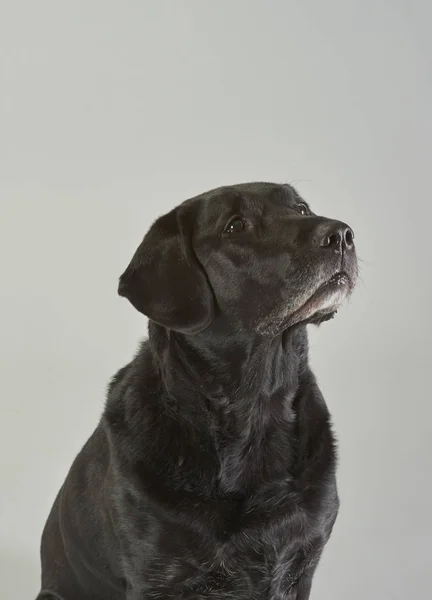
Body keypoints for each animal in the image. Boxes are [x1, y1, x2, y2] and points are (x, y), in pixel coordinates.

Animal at [37, 183, 356, 600]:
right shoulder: (159, 576)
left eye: (301, 208)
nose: (341, 235)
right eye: (235, 226)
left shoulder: (299, 563)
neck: (255, 409)